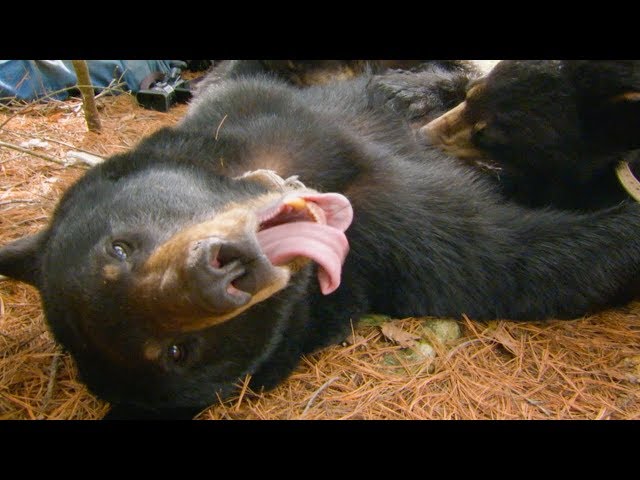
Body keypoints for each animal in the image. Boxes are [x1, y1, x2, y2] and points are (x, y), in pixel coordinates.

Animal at [1, 69, 640, 418]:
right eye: (179, 353)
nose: (220, 271)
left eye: (119, 249)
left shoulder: (275, 109)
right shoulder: (396, 250)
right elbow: (516, 257)